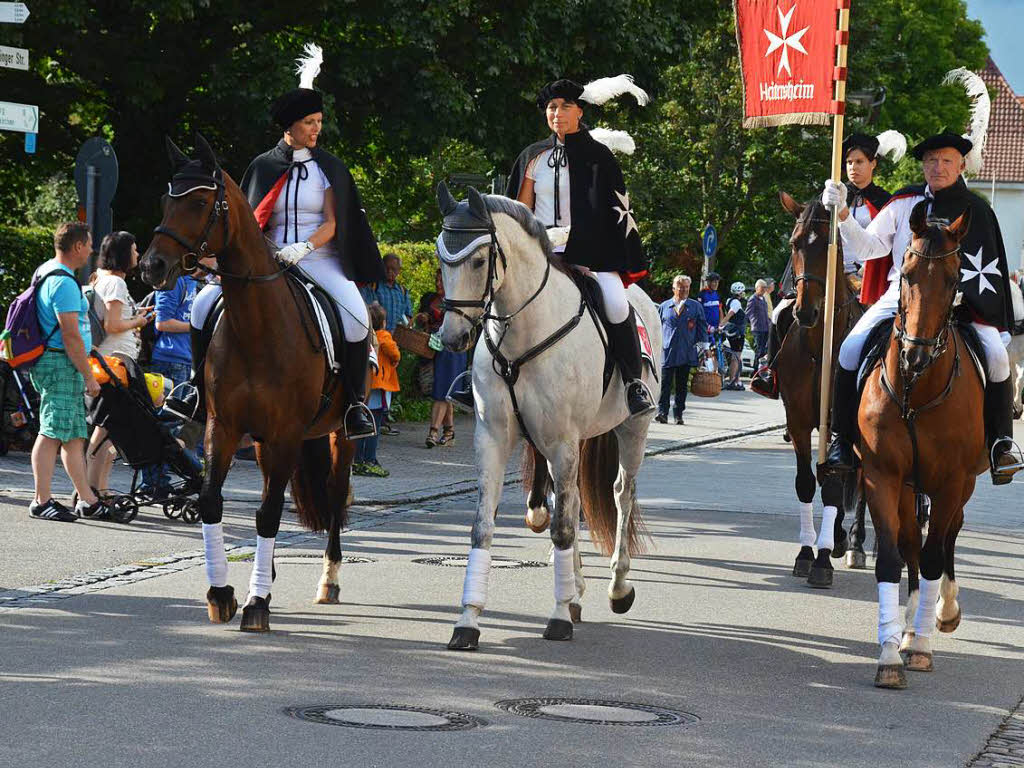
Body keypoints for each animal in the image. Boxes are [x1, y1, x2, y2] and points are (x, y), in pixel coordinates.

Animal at [141, 135, 356, 634]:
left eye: (200, 202)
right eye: (165, 200)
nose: (152, 265)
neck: (259, 324)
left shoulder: (287, 433)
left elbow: (271, 512)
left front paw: (257, 603)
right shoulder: (224, 426)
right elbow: (212, 501)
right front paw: (222, 593)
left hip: (338, 433)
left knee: (335, 495)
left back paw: (329, 580)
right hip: (260, 442)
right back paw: (270, 572)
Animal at [434, 185, 663, 651]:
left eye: (479, 260)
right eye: (441, 258)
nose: (452, 337)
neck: (521, 334)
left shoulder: (560, 442)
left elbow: (560, 530)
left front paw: (557, 618)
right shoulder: (494, 439)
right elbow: (484, 527)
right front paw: (467, 622)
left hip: (632, 429)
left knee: (622, 494)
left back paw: (618, 587)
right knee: (571, 502)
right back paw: (575, 591)